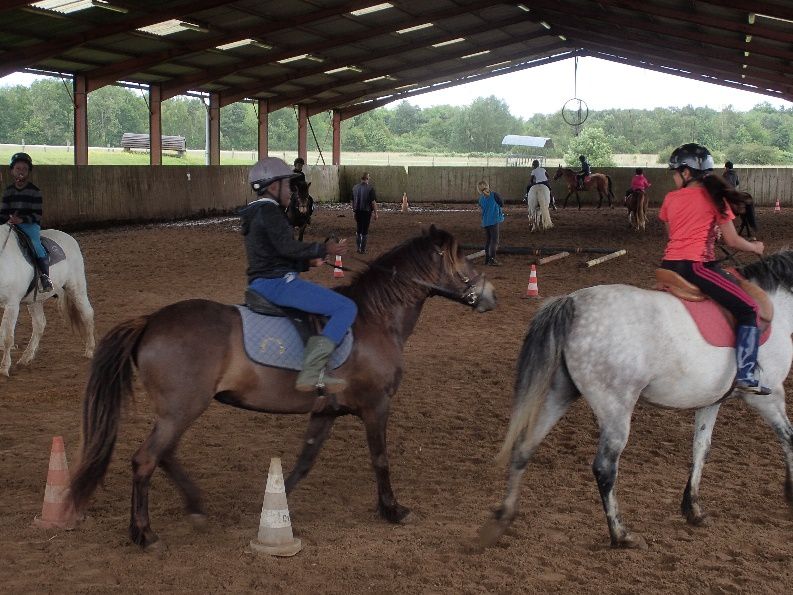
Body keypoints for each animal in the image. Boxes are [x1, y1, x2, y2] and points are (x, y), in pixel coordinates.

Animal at [0, 224, 94, 378]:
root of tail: (69, 237)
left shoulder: (12, 304)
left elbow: (7, 337)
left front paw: (4, 368)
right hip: (34, 301)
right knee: (40, 324)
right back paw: (25, 358)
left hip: (76, 287)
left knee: (87, 314)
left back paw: (90, 350)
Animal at [71, 227, 498, 548]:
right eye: (462, 260)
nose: (491, 296)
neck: (375, 319)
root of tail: (150, 321)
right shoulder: (377, 406)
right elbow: (380, 459)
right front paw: (393, 510)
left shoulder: (326, 411)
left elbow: (304, 462)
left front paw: (276, 507)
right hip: (181, 409)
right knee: (146, 459)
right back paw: (144, 533)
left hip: (177, 412)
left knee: (165, 455)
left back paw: (194, 506)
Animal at [480, 250, 792, 548]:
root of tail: (573, 302)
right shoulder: (769, 396)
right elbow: (788, 436)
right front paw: (790, 490)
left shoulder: (710, 401)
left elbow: (700, 449)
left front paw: (693, 508)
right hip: (615, 410)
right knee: (604, 468)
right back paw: (621, 535)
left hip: (560, 393)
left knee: (524, 447)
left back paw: (503, 517)